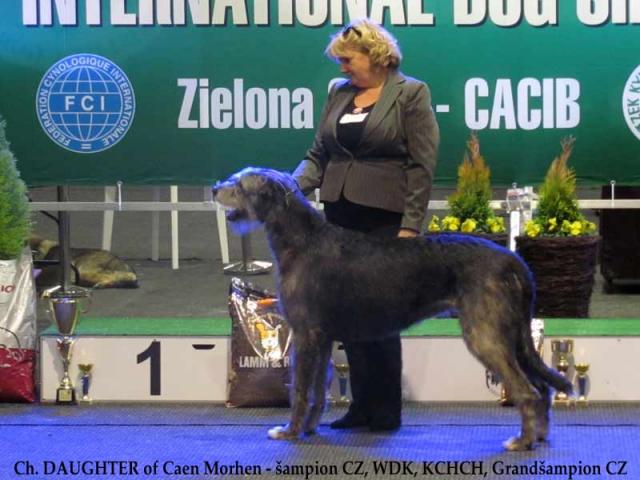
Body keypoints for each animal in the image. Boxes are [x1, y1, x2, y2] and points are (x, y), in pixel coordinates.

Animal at [213, 167, 572, 451]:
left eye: (240, 184)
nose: (216, 188)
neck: (302, 241)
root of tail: (513, 261)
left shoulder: (305, 334)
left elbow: (300, 390)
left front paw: (289, 431)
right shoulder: (322, 337)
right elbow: (317, 391)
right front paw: (310, 428)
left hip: (486, 333)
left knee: (528, 390)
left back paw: (522, 441)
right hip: (511, 332)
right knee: (541, 387)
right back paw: (540, 436)